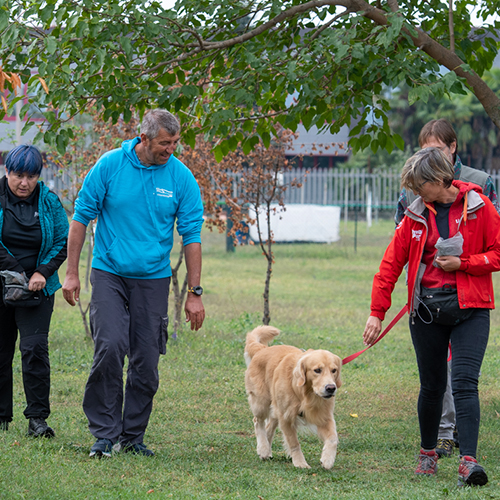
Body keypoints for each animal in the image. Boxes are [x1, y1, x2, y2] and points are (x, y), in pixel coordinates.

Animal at [244, 324, 342, 468]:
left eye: (334, 370)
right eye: (317, 370)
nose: (331, 388)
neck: (305, 394)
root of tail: (262, 349)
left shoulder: (324, 415)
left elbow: (333, 438)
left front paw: (327, 459)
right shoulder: (286, 417)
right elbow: (294, 443)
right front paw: (300, 462)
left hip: (275, 407)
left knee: (268, 427)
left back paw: (266, 451)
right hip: (261, 402)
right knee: (258, 422)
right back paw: (263, 448)